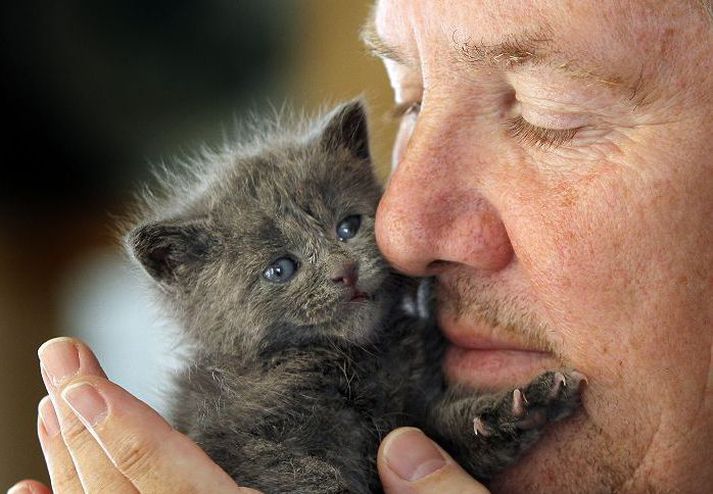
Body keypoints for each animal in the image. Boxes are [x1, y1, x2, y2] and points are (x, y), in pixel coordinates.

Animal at [128, 100, 584, 494]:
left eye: (348, 226)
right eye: (280, 269)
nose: (344, 271)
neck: (354, 360)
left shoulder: (411, 411)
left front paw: (514, 410)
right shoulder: (230, 437)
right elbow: (301, 473)